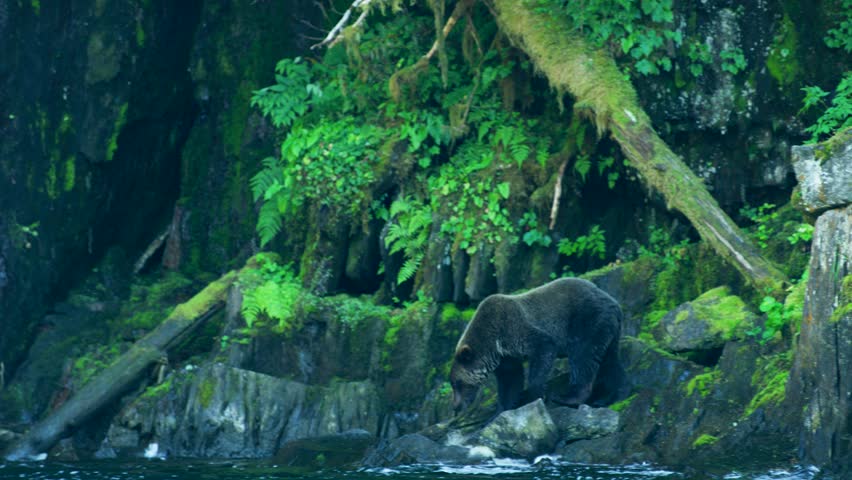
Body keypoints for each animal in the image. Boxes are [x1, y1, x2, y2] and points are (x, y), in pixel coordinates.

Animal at [449, 277, 625, 413]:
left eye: (458, 383)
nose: (455, 407)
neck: (493, 343)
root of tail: (614, 303)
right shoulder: (506, 357)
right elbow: (510, 380)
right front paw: (502, 409)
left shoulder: (513, 328)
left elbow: (543, 349)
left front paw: (532, 395)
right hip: (608, 331)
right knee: (608, 361)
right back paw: (605, 397)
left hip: (586, 321)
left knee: (582, 357)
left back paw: (567, 397)